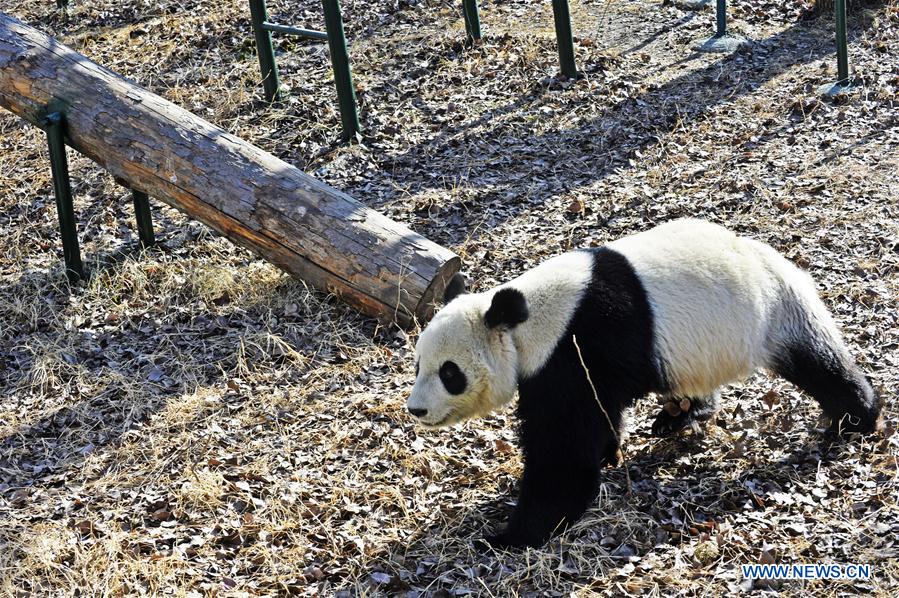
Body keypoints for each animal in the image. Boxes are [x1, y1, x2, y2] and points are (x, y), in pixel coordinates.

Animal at [407, 219, 881, 549]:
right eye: (417, 365)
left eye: (449, 372)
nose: (416, 409)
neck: (523, 319)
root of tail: (778, 261)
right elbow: (597, 418)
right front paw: (609, 451)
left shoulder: (575, 344)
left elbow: (563, 448)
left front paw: (511, 535)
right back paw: (679, 415)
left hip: (768, 312)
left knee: (818, 361)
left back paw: (858, 416)